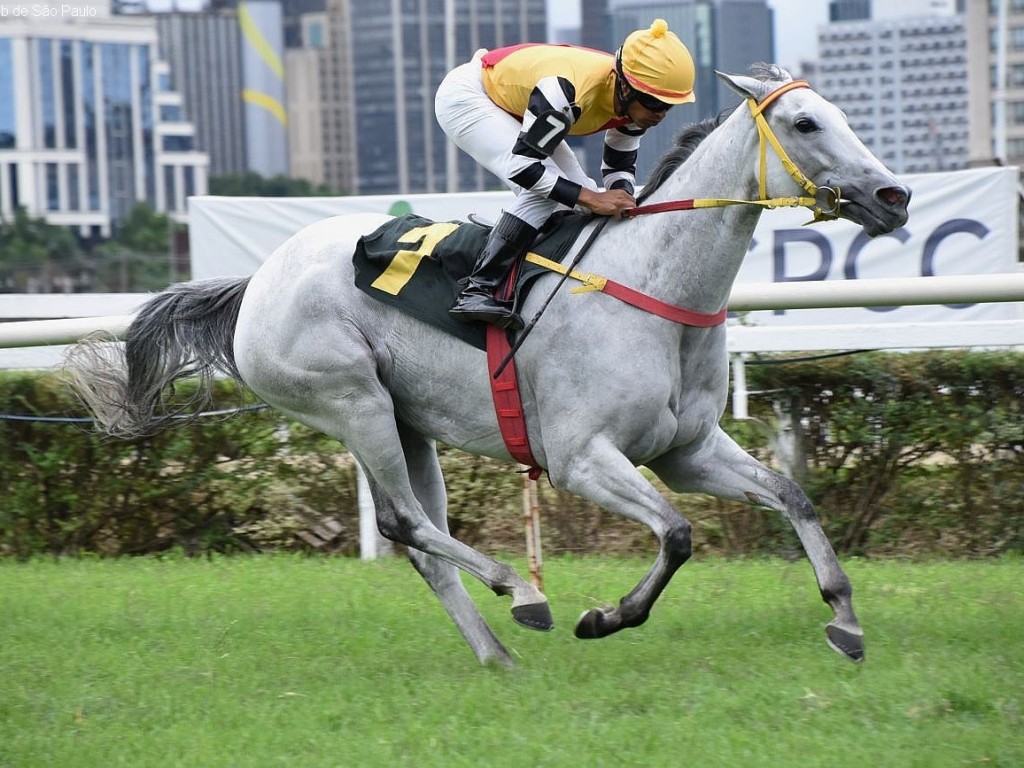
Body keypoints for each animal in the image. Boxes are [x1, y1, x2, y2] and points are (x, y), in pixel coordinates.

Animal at [68, 69, 909, 667]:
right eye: (806, 122)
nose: (893, 195)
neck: (655, 290)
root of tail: (254, 285)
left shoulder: (688, 450)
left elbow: (793, 497)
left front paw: (845, 620)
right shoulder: (581, 457)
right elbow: (676, 534)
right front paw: (605, 617)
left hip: (405, 423)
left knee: (421, 539)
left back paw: (497, 651)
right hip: (351, 401)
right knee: (407, 522)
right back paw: (520, 591)